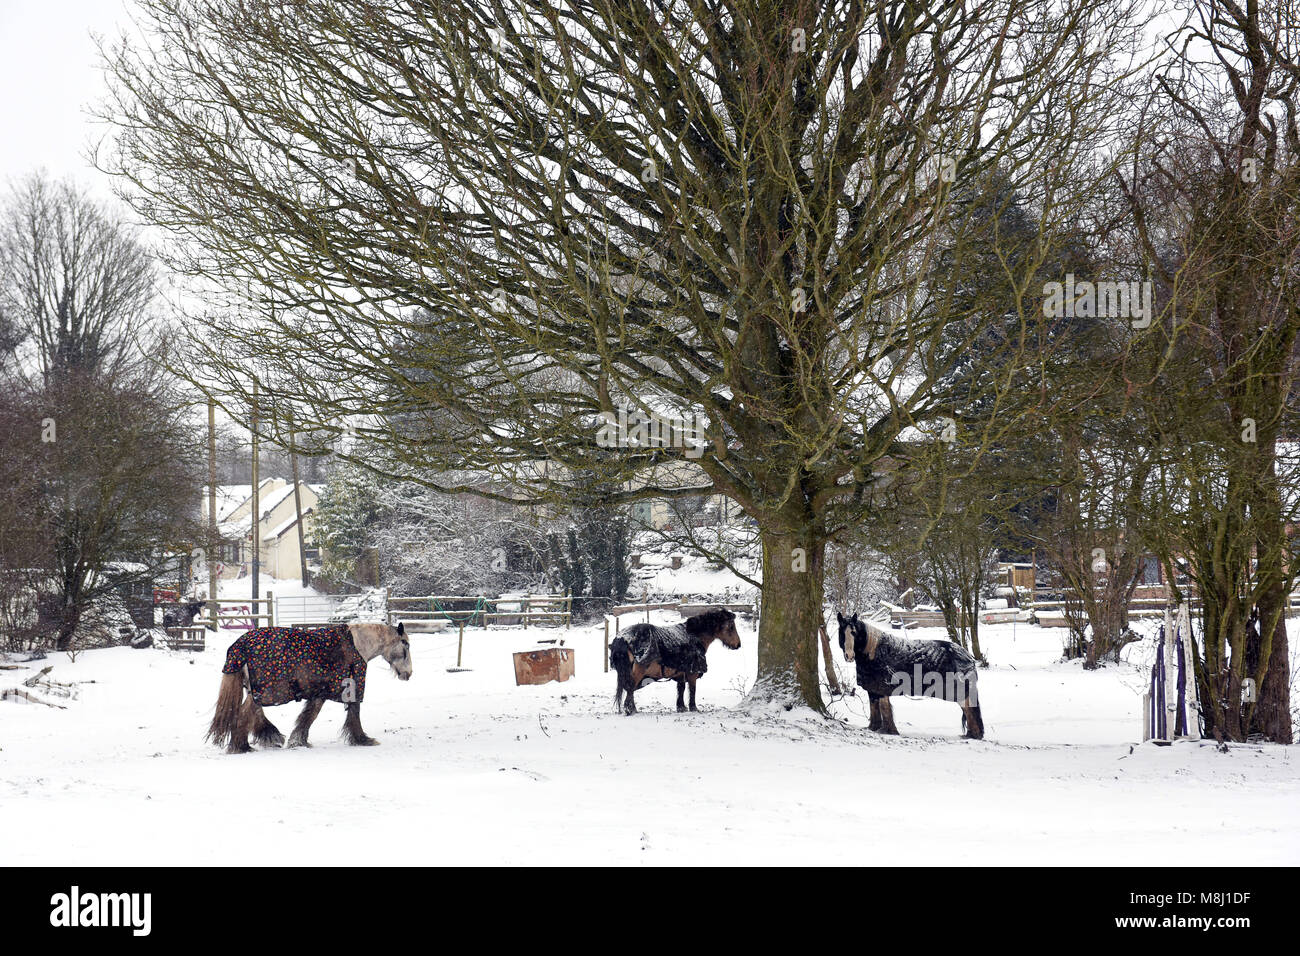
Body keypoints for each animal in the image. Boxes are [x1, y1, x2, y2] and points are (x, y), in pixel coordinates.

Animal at [611, 608, 743, 712]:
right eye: (731, 627)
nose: (738, 644)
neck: (694, 636)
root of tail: (622, 638)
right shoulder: (692, 672)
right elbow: (692, 689)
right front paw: (693, 708)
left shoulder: (681, 672)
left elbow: (681, 689)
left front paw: (681, 707)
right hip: (637, 672)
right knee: (630, 688)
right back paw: (630, 710)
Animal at [832, 613, 982, 738]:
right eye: (842, 633)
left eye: (854, 632)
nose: (849, 656)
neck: (873, 652)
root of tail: (968, 657)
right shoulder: (873, 690)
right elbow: (874, 710)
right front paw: (873, 728)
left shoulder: (881, 690)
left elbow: (885, 710)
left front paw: (890, 731)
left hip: (961, 693)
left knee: (970, 710)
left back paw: (974, 735)